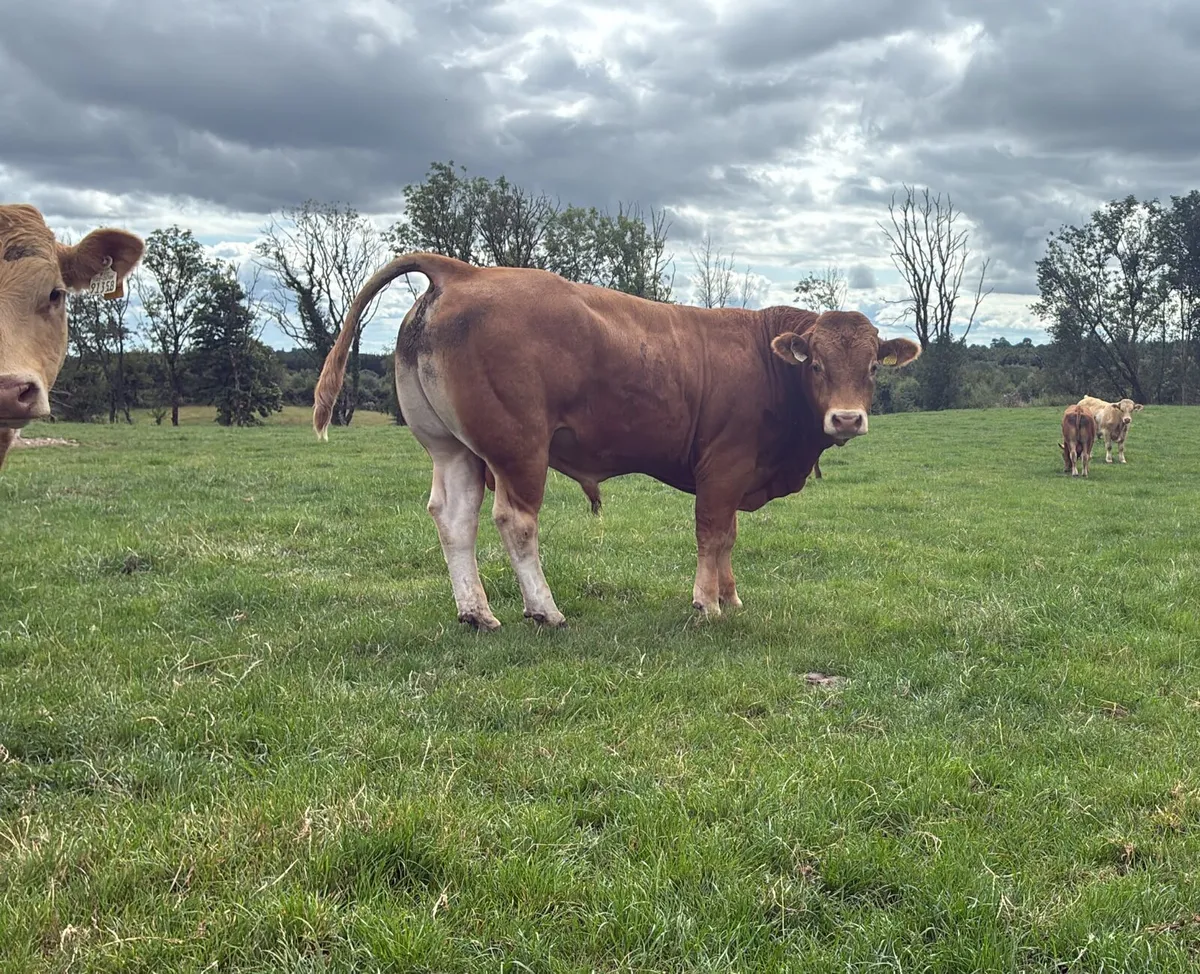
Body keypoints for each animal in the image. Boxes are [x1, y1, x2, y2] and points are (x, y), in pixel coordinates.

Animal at [313, 253, 921, 630]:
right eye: (815, 364)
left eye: (872, 367)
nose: (847, 419)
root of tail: (461, 272)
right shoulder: (724, 466)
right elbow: (712, 534)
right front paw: (707, 604)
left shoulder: (739, 471)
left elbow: (728, 537)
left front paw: (730, 596)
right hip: (519, 448)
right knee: (515, 522)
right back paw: (545, 610)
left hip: (451, 447)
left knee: (453, 518)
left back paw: (477, 613)